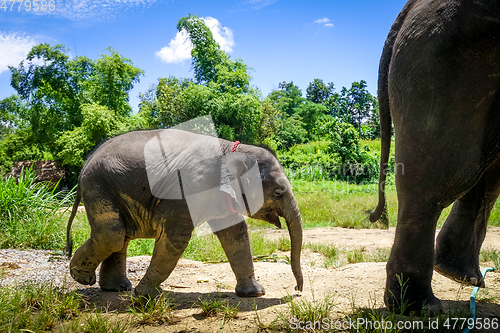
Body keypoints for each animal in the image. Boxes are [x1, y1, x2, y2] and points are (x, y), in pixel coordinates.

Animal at [65, 128, 302, 296]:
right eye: (278, 192)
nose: (297, 290)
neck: (233, 149)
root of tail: (85, 164)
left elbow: (235, 233)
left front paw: (254, 294)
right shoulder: (190, 187)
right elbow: (176, 238)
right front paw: (143, 295)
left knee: (120, 236)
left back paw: (117, 289)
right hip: (97, 186)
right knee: (112, 235)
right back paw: (84, 279)